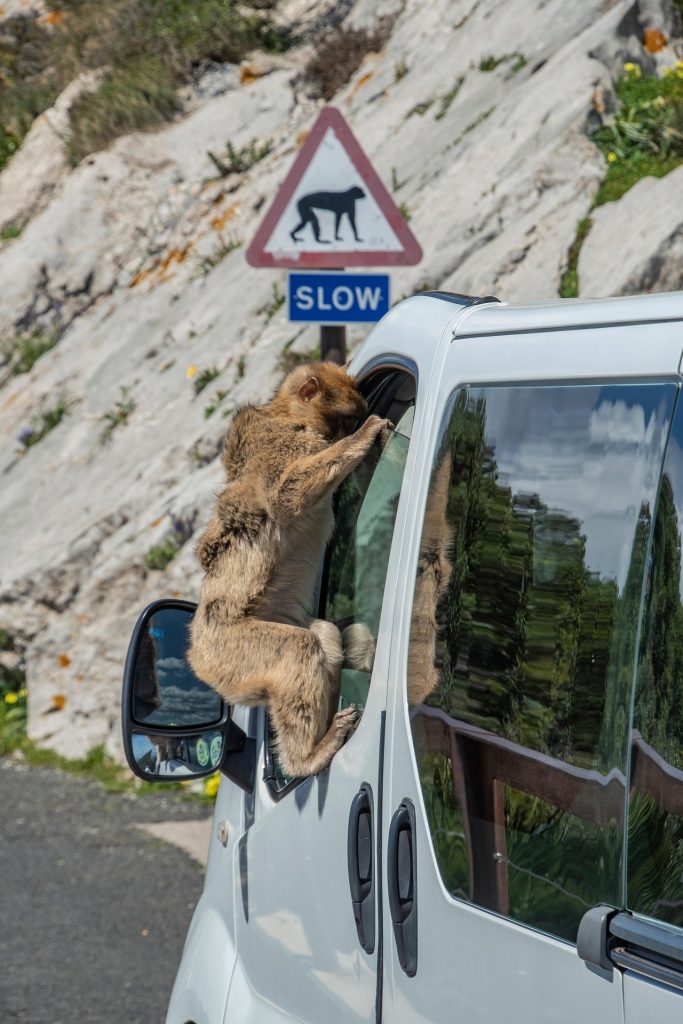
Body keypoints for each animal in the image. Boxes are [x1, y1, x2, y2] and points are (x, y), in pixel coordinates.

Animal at [188, 362, 391, 777]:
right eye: (349, 418)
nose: (353, 427)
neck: (291, 419)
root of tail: (195, 655)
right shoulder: (279, 444)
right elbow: (287, 493)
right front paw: (367, 435)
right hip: (230, 651)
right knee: (299, 649)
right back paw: (307, 759)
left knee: (325, 638)